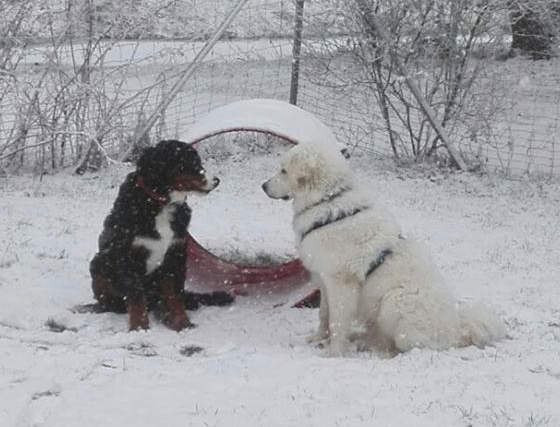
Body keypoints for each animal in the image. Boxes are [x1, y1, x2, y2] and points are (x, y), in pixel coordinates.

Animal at [260, 144, 506, 358]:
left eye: (283, 170)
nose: (263, 186)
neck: (327, 201)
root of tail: (457, 331)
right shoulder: (324, 280)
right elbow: (324, 315)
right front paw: (318, 338)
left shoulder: (341, 283)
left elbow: (337, 321)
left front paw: (333, 352)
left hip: (393, 301)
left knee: (400, 347)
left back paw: (374, 349)